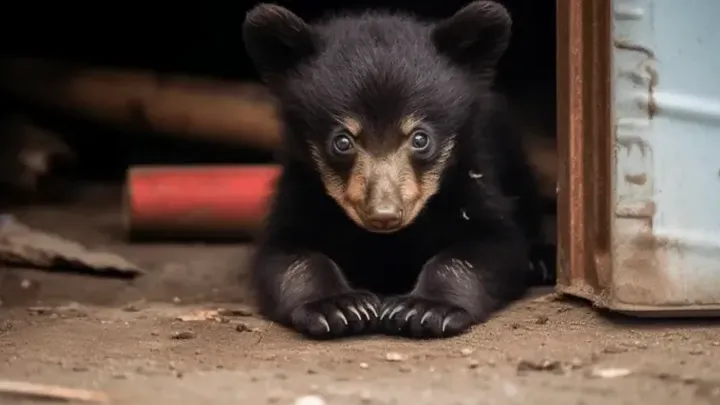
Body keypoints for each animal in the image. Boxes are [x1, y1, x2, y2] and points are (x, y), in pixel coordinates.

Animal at [242, 0, 545, 340]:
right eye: (342, 141)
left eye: (420, 138)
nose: (384, 214)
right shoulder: (300, 187)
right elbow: (286, 255)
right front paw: (339, 307)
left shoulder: (472, 178)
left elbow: (491, 247)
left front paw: (424, 309)